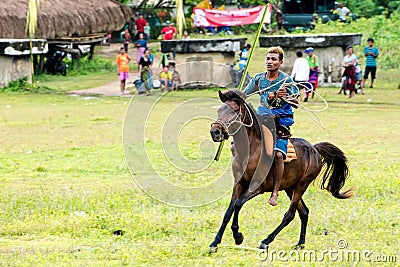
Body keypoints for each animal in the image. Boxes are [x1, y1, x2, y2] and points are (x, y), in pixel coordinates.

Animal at [209, 90, 354, 253]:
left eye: (233, 111)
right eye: (219, 110)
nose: (215, 132)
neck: (250, 150)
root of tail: (315, 149)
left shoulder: (257, 187)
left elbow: (238, 204)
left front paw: (238, 235)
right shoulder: (239, 184)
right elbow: (229, 211)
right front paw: (215, 242)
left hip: (301, 185)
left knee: (290, 214)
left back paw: (266, 241)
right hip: (290, 187)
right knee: (304, 212)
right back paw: (300, 244)